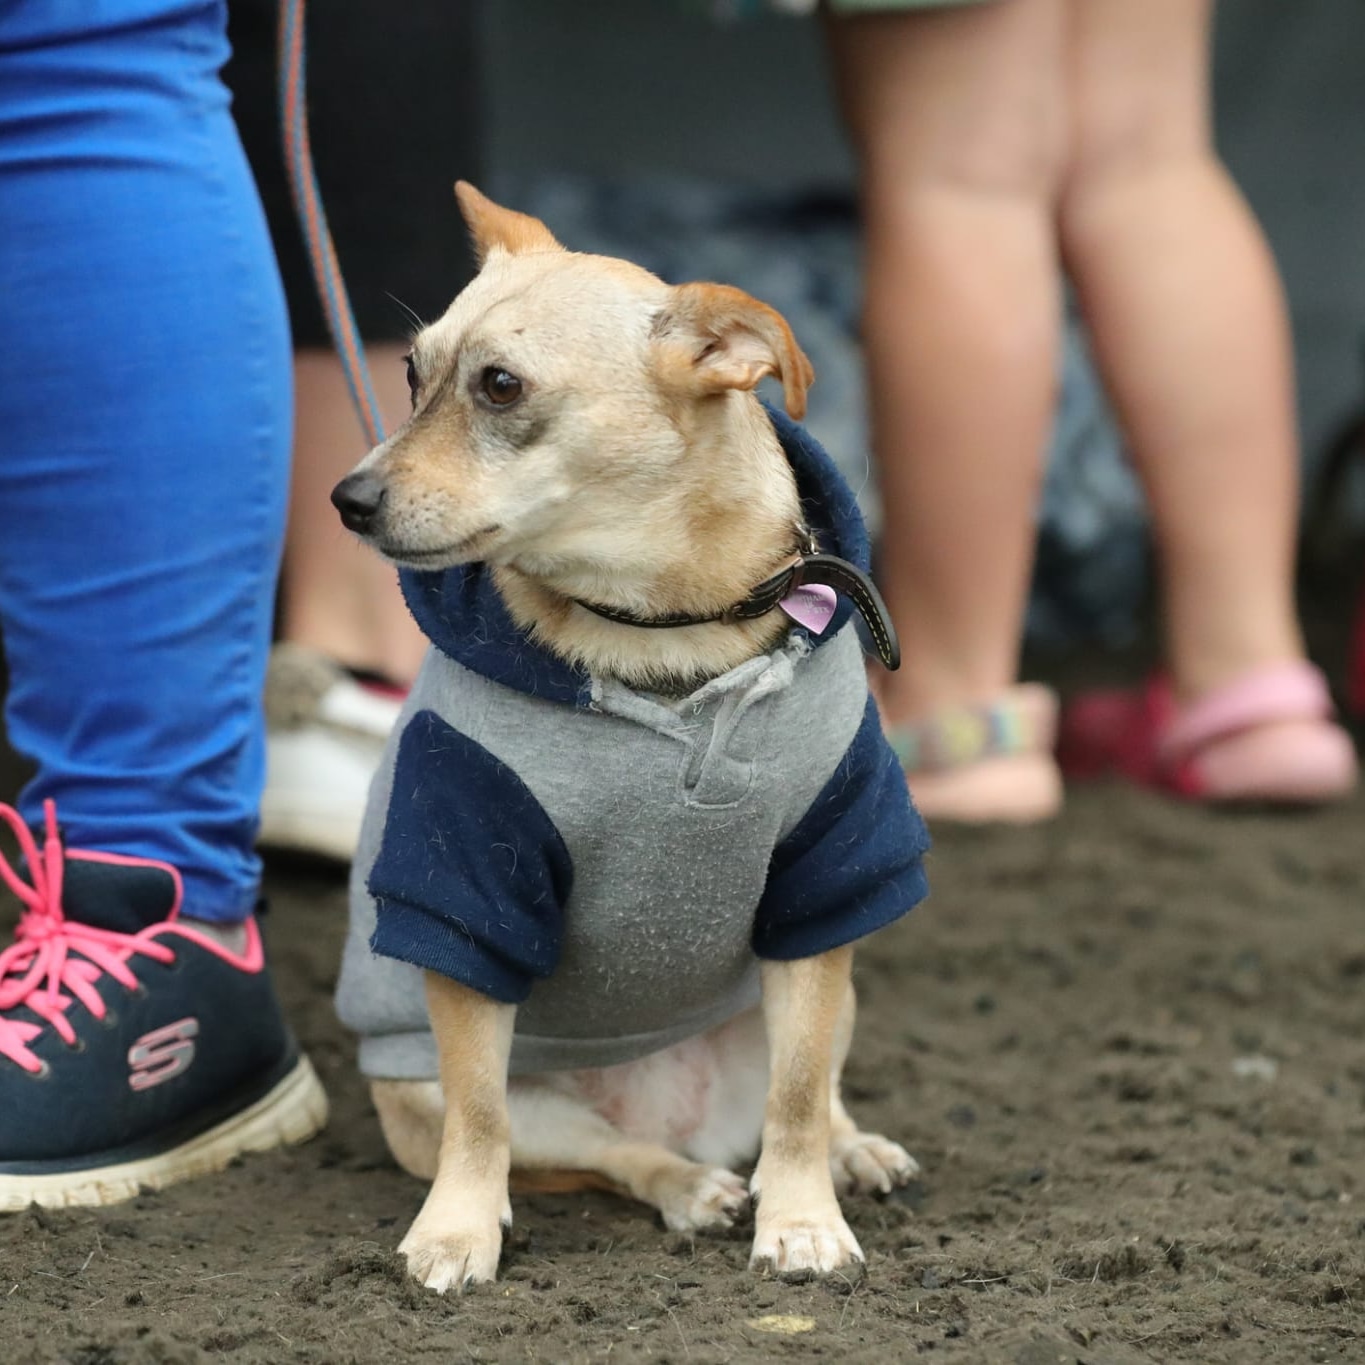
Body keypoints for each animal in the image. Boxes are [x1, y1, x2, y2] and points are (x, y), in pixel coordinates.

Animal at [331, 184, 933, 1288]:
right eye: (411, 372)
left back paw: (845, 1150)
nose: (346, 497)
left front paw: (803, 1219)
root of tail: (682, 1114)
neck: (660, 636)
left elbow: (795, 1098)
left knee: (800, 1096)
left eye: (499, 386)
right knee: (609, 1155)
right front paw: (456, 1229)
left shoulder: (824, 885)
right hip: (461, 1097)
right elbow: (479, 1117)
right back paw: (689, 1186)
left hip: (829, 992)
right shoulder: (466, 896)